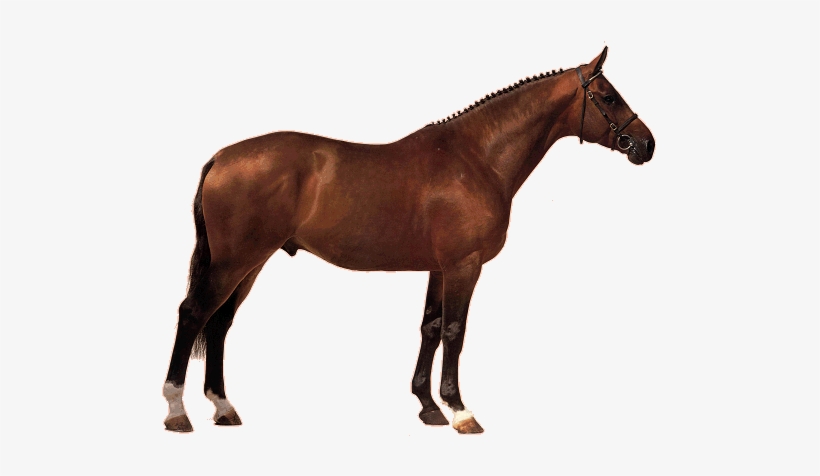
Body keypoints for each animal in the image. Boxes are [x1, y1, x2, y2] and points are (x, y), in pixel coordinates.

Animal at [163, 46, 655, 434]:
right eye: (608, 96)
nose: (646, 145)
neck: (475, 158)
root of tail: (222, 157)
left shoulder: (439, 267)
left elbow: (430, 328)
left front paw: (428, 407)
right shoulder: (464, 265)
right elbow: (455, 331)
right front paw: (460, 411)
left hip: (250, 262)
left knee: (220, 323)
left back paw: (223, 407)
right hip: (234, 261)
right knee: (193, 314)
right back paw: (176, 412)